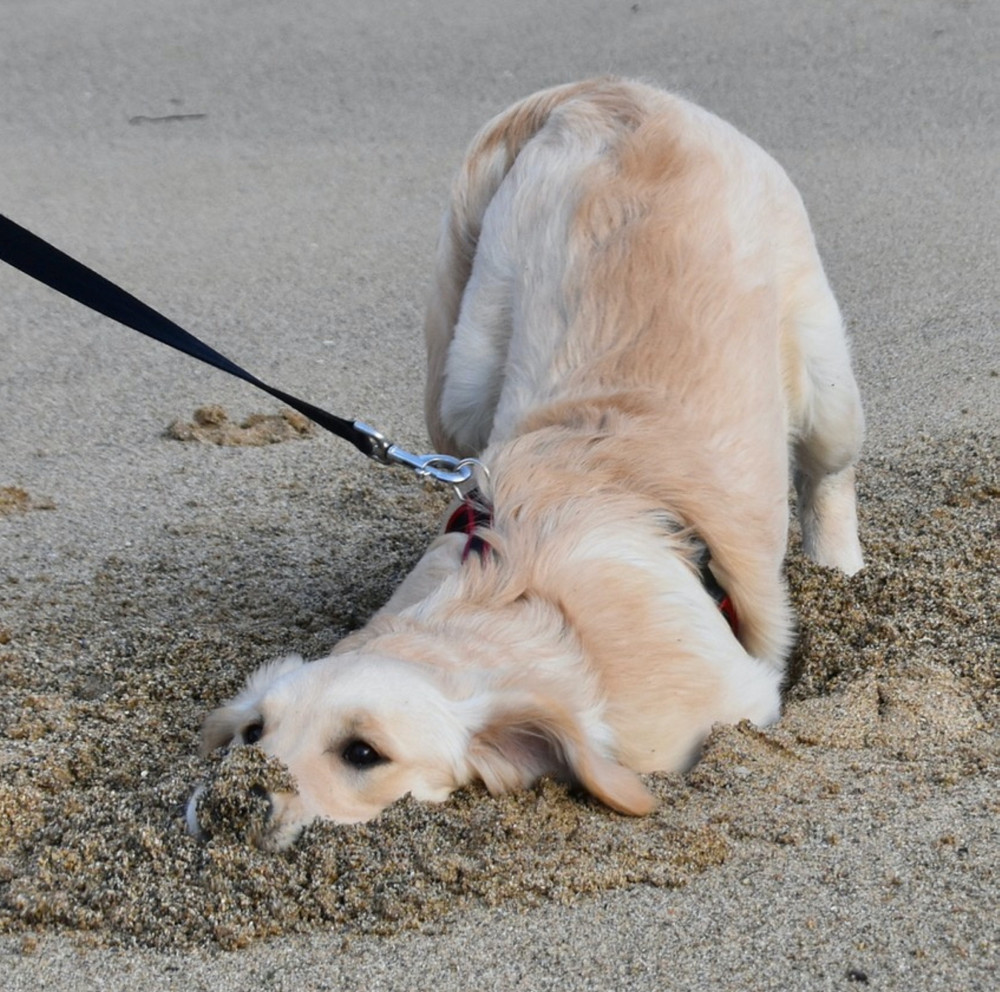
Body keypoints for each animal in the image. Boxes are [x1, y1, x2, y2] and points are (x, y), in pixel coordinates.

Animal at [191, 79, 864, 852]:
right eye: (253, 732)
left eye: (363, 753)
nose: (226, 808)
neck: (524, 611)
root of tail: (606, 96)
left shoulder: (743, 703)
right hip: (465, 370)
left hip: (824, 373)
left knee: (829, 477)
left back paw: (840, 569)